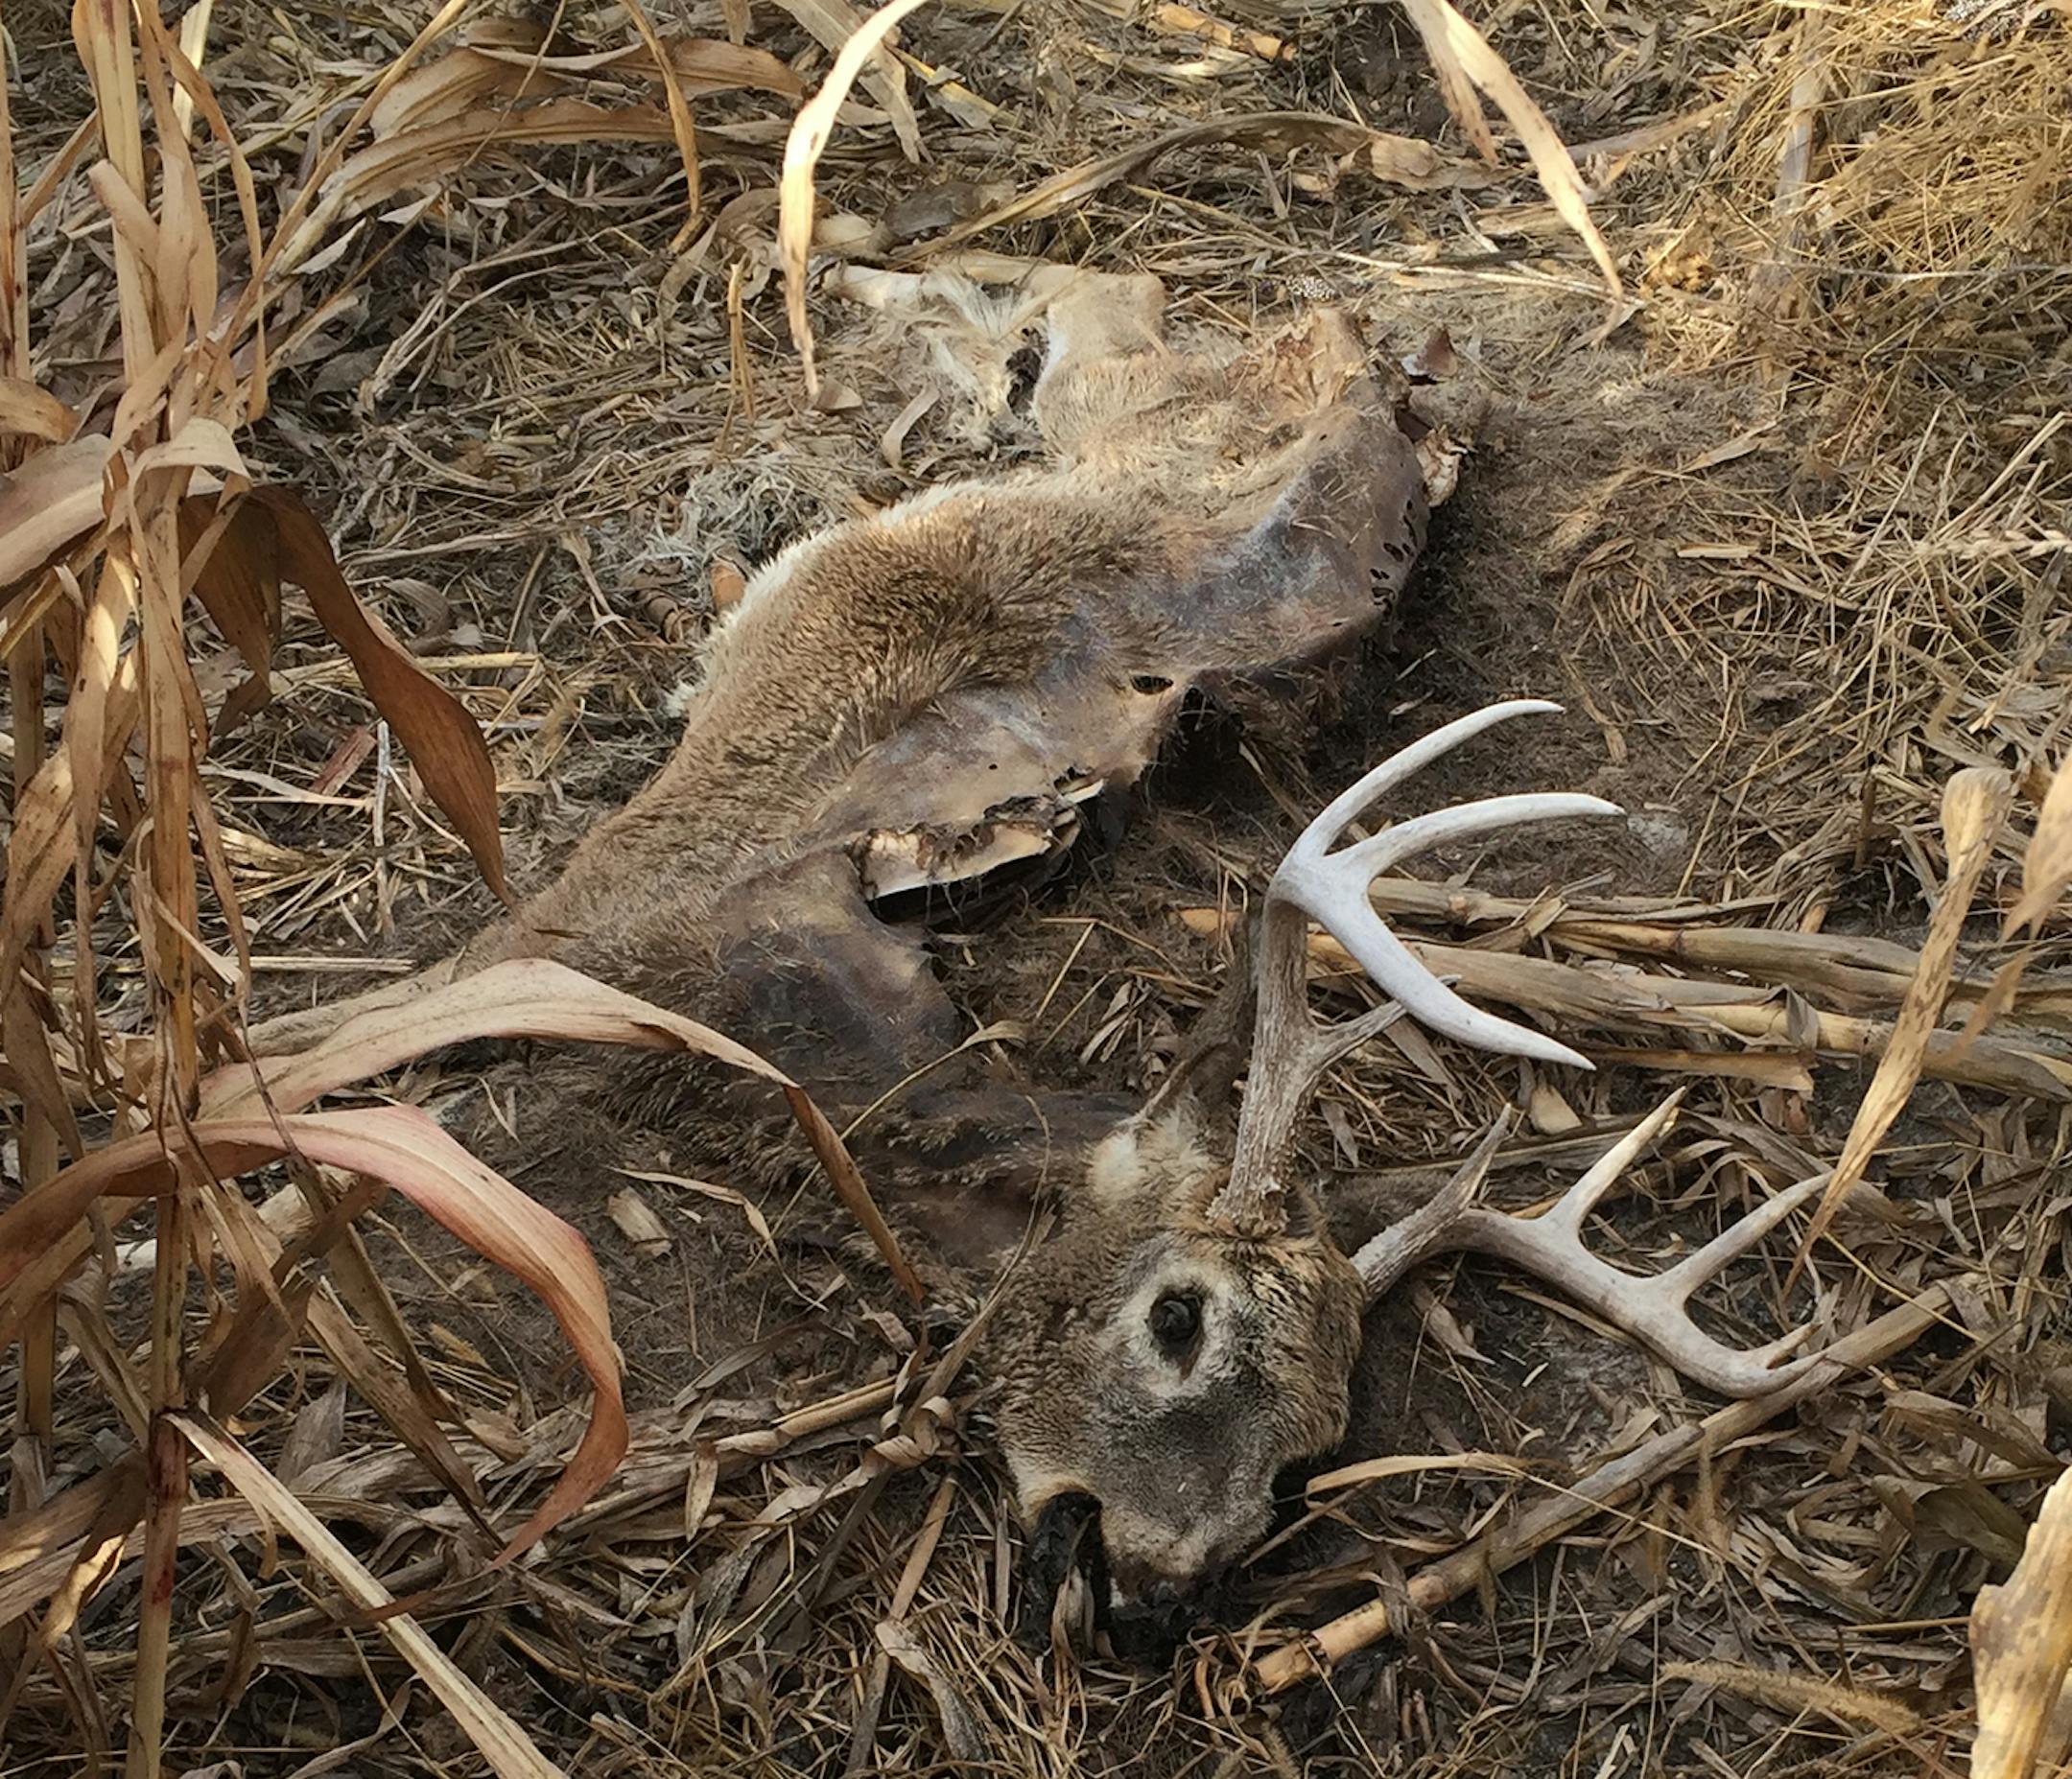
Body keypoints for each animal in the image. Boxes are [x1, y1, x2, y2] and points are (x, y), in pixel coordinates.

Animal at [245, 269, 1831, 1643]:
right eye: (1178, 1317)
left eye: (1310, 1450)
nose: (1155, 1599)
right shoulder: (588, 922)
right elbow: (300, 1051)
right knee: (1104, 305)